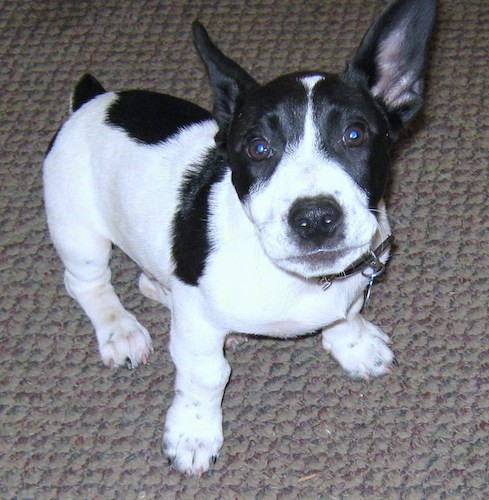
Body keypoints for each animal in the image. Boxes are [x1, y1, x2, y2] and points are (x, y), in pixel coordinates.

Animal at [44, 0, 434, 476]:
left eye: (355, 135)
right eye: (258, 148)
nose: (315, 217)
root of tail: (94, 101)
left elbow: (347, 311)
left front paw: (354, 343)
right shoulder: (197, 326)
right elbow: (206, 375)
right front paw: (193, 433)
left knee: (147, 280)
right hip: (78, 229)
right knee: (87, 283)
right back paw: (119, 329)